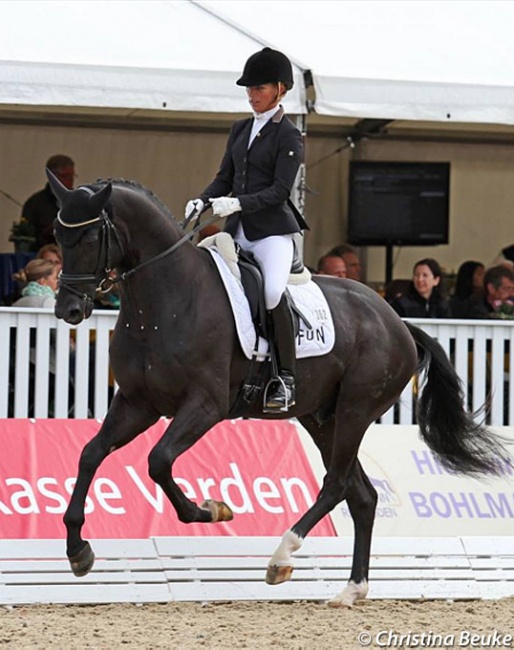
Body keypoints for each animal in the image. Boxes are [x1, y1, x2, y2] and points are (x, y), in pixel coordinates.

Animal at [49, 172, 508, 608]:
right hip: (321, 419)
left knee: (336, 484)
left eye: (88, 237)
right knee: (361, 495)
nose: (68, 309)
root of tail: (397, 320)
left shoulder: (205, 406)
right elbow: (91, 453)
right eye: (57, 234)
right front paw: (78, 551)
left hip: (356, 409)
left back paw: (281, 557)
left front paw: (211, 510)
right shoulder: (137, 403)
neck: (165, 300)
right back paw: (350, 590)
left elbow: (159, 461)